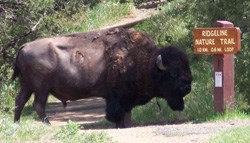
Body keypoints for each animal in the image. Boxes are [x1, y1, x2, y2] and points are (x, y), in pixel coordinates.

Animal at [12, 27, 192, 127]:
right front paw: (120, 125)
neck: (144, 61)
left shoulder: (126, 98)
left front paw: (126, 125)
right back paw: (48, 125)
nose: (188, 87)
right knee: (38, 105)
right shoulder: (117, 97)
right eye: (173, 73)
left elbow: (126, 113)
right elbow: (118, 113)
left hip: (26, 85)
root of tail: (24, 46)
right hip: (41, 88)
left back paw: (16, 125)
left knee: (19, 102)